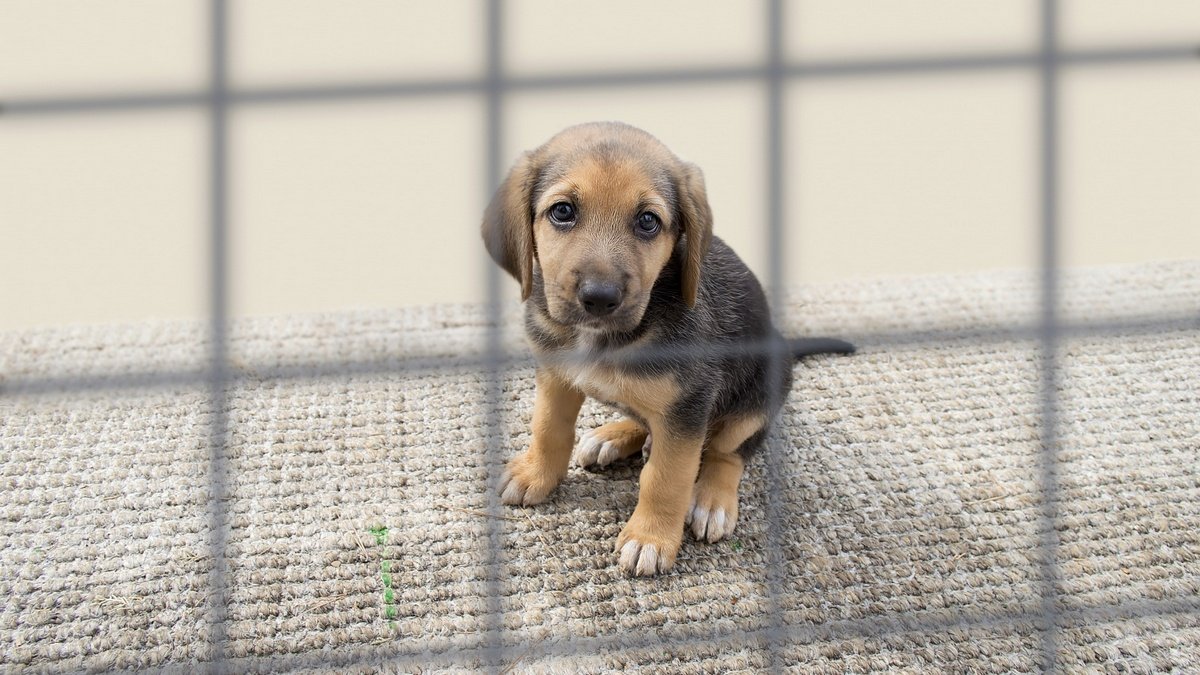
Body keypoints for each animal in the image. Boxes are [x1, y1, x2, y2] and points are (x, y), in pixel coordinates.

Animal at [477, 120, 854, 571]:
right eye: (563, 211)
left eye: (647, 221)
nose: (599, 298)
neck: (604, 338)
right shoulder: (556, 376)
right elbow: (549, 428)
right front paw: (536, 474)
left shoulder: (689, 404)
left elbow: (666, 478)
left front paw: (650, 537)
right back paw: (613, 435)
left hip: (758, 395)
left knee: (727, 452)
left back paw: (711, 501)